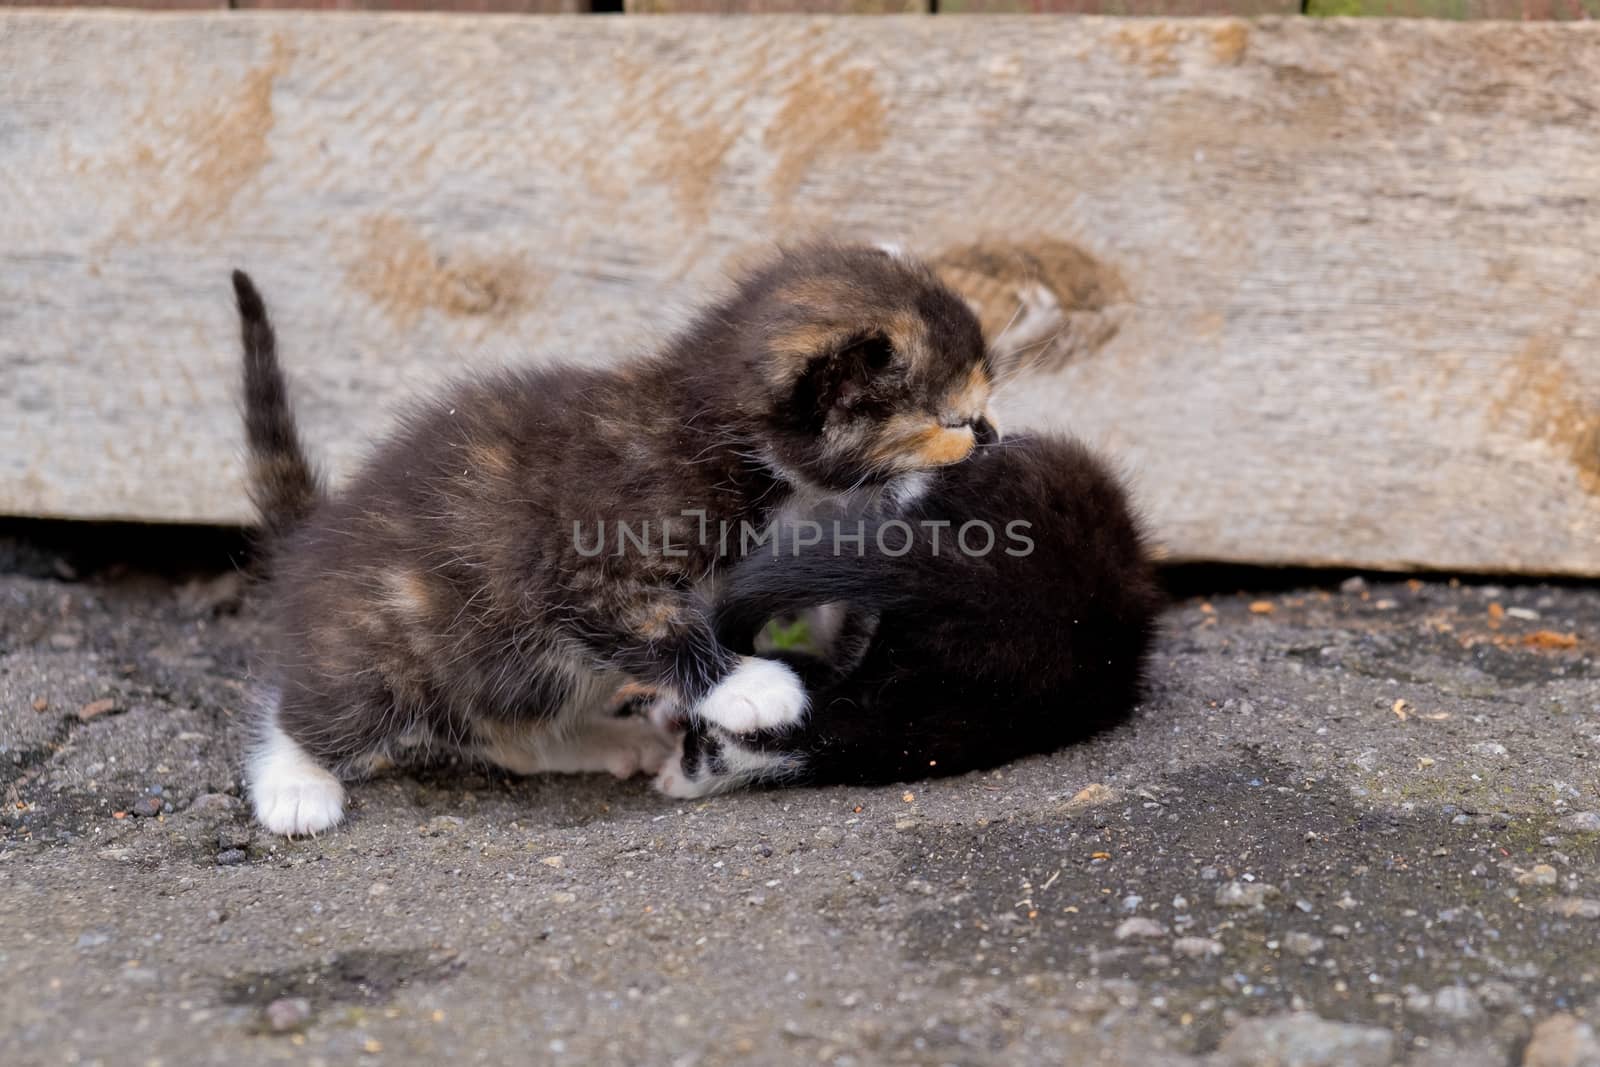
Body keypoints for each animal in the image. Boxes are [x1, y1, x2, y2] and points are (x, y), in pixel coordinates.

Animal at [233, 244, 992, 831]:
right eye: (955, 420)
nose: (991, 437)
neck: (725, 434)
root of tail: (317, 534)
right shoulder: (592, 558)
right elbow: (658, 625)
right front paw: (747, 685)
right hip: (392, 635)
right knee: (320, 706)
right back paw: (295, 782)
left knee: (510, 732)